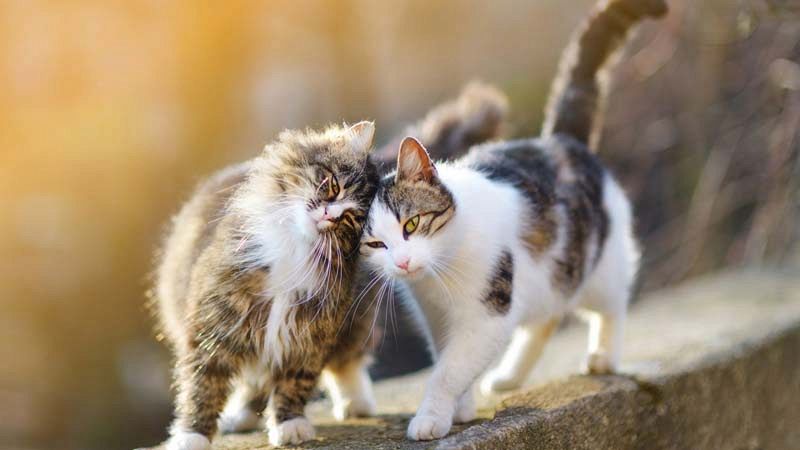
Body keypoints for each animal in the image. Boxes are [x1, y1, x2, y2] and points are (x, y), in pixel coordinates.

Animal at [360, 0, 664, 440]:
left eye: (411, 225)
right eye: (374, 244)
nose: (402, 262)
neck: (441, 273)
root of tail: (559, 139)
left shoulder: (488, 315)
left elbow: (448, 371)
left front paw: (431, 417)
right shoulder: (437, 318)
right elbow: (449, 360)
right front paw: (461, 408)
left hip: (600, 264)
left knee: (612, 305)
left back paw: (604, 355)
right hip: (549, 276)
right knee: (546, 318)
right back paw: (509, 376)